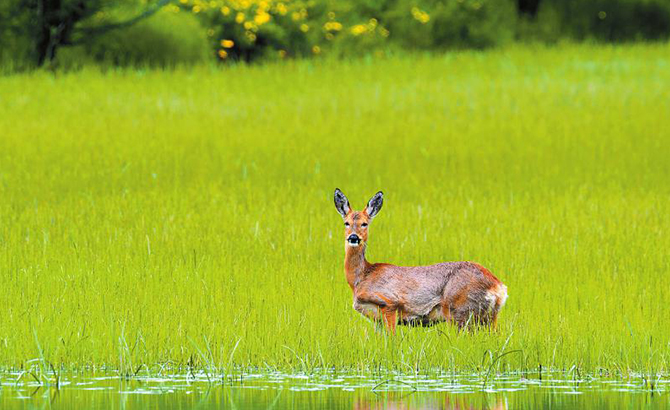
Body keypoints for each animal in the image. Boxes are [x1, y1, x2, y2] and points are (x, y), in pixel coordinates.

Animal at [336, 189, 510, 334]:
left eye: (364, 223)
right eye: (346, 223)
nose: (353, 237)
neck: (361, 278)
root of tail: (499, 287)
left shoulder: (389, 303)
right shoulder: (376, 319)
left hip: (459, 310)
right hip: (488, 316)